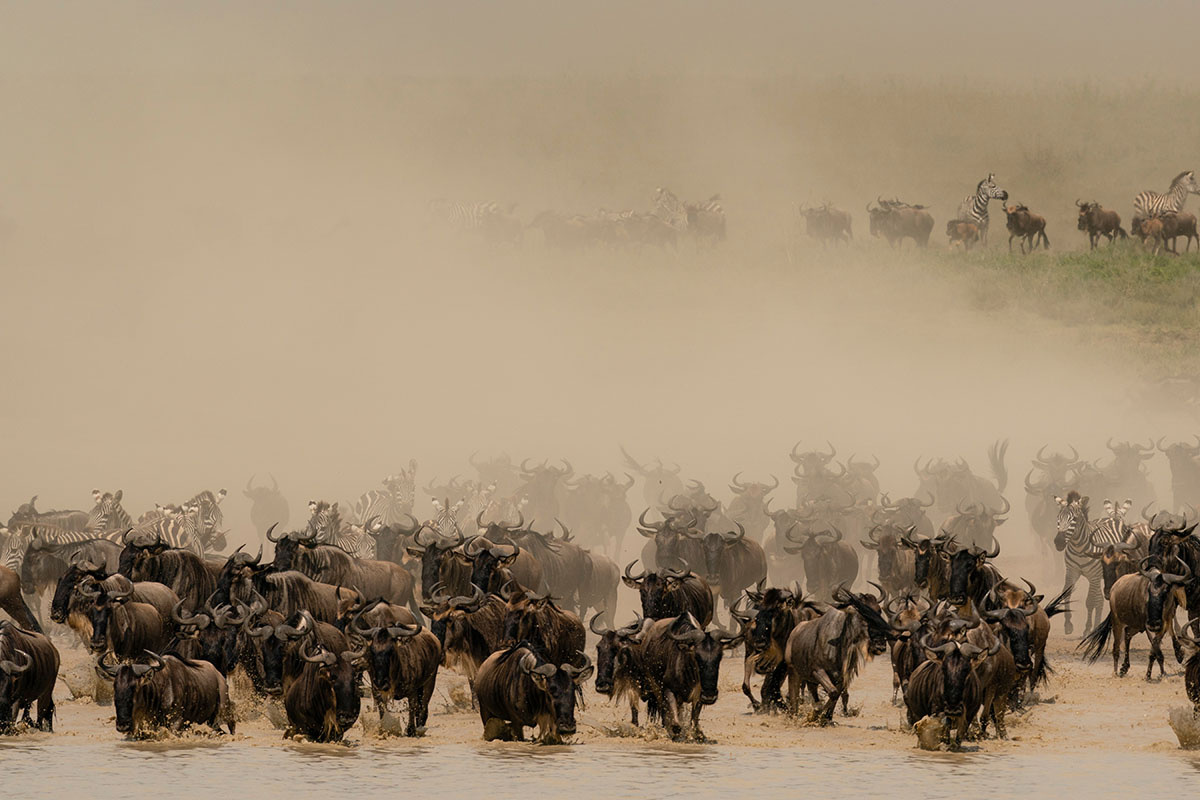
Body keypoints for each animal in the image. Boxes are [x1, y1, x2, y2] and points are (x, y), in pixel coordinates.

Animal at [1055, 491, 1136, 635]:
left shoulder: (1094, 575)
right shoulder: (1072, 571)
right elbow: (1066, 593)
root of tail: (1115, 517)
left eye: (1074, 519)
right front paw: (1068, 624)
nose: (1058, 542)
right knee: (1099, 599)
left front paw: (1087, 628)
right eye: (1058, 518)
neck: (1079, 549)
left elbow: (1090, 601)